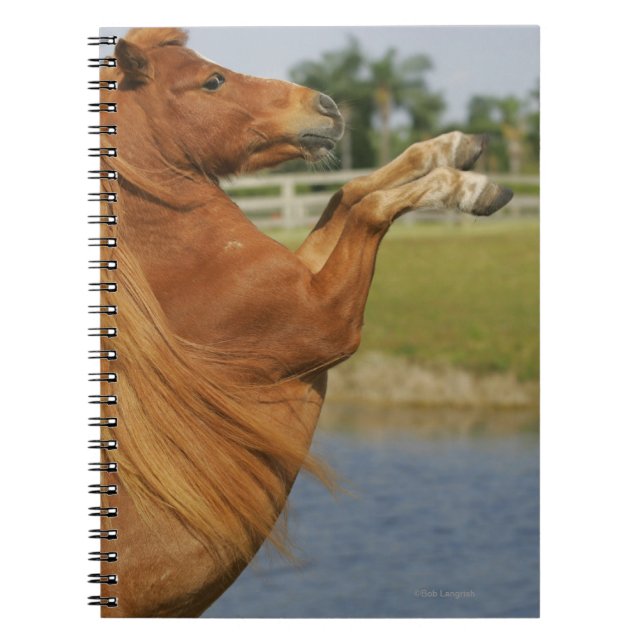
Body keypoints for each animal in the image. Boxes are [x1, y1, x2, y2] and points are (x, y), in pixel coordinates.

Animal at [95, 27, 512, 617]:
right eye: (212, 80)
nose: (328, 106)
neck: (177, 266)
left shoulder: (306, 276)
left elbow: (350, 191)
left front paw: (455, 146)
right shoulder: (328, 323)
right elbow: (369, 207)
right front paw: (470, 187)